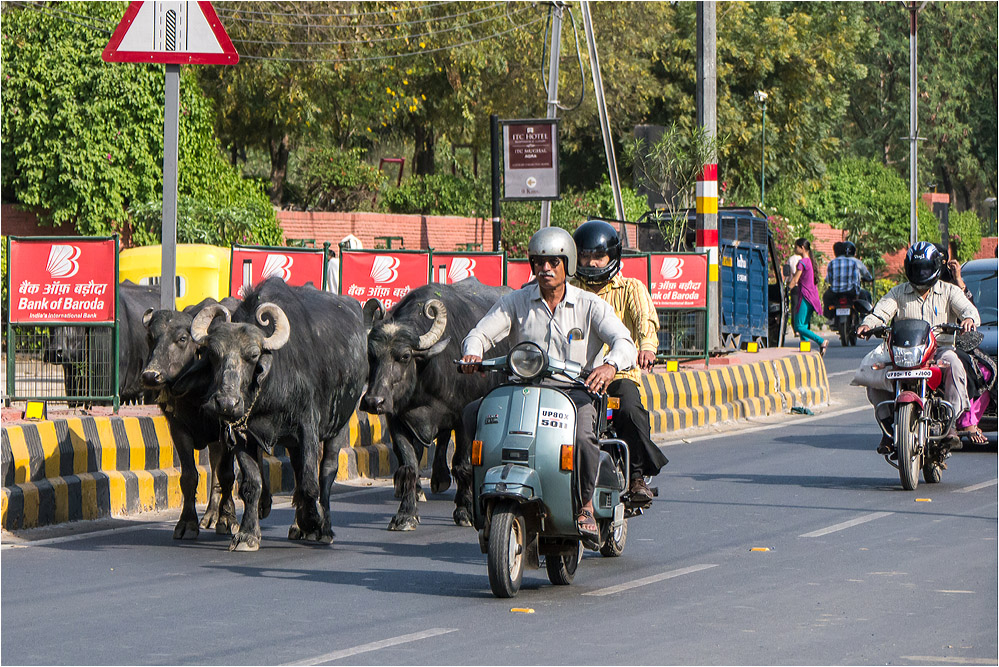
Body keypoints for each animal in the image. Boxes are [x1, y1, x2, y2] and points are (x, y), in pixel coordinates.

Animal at [141, 300, 274, 540]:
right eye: (151, 337)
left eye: (182, 339)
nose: (150, 375)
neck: (194, 396)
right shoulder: (178, 429)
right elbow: (189, 476)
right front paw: (187, 523)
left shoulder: (226, 428)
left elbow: (227, 474)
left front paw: (227, 519)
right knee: (213, 464)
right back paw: (210, 514)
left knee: (253, 457)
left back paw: (261, 504)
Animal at [192, 278, 372, 552]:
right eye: (213, 354)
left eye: (253, 355)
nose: (226, 402)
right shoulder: (243, 435)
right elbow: (251, 483)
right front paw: (247, 534)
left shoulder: (307, 428)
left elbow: (310, 483)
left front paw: (313, 522)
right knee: (297, 472)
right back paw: (298, 525)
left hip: (339, 424)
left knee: (325, 473)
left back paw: (324, 528)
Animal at [362, 276, 512, 532]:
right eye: (372, 355)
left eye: (404, 356)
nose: (373, 401)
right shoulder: (396, 419)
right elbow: (409, 465)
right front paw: (405, 514)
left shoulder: (463, 418)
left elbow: (462, 464)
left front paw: (464, 511)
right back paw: (437, 480)